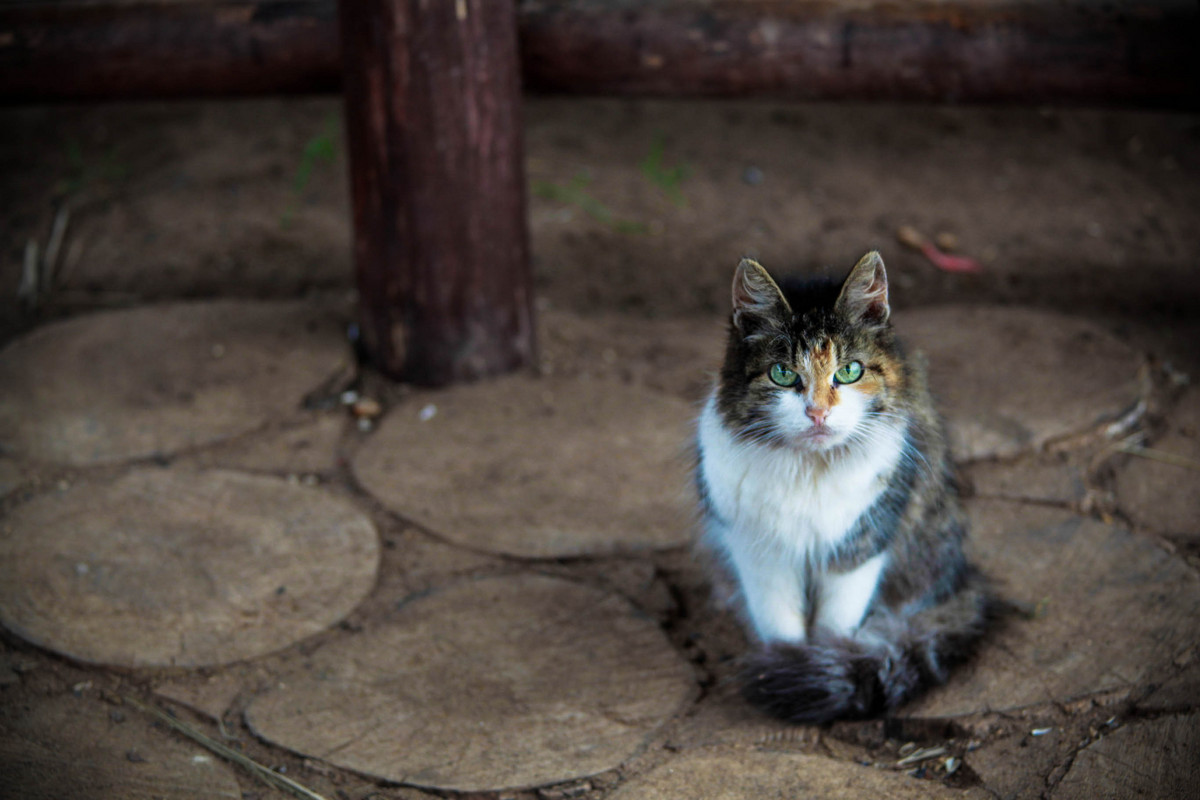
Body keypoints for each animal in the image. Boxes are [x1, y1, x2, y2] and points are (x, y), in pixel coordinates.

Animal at [696, 251, 993, 724]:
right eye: (782, 374)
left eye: (849, 371)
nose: (818, 413)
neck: (809, 471)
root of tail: (964, 573)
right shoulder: (760, 552)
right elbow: (781, 625)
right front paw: (785, 663)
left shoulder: (859, 546)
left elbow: (834, 626)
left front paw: (816, 667)